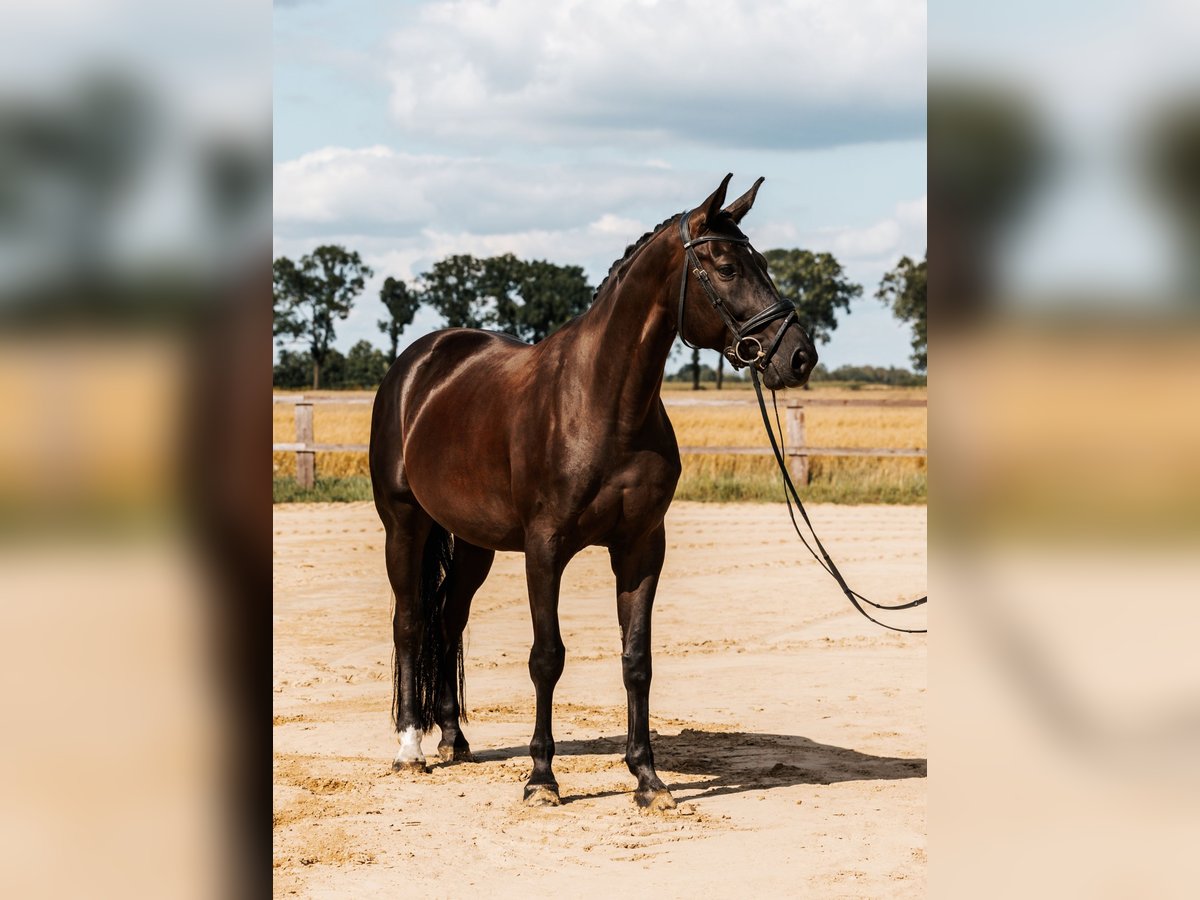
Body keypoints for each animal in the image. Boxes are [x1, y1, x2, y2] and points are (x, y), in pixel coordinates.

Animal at [364, 174, 816, 811]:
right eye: (727, 268)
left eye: (765, 264)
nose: (799, 356)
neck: (602, 401)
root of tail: (418, 363)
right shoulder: (545, 548)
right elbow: (546, 658)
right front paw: (542, 779)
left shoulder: (642, 547)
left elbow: (637, 660)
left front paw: (649, 780)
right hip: (404, 522)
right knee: (408, 621)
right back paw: (410, 748)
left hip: (473, 540)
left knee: (448, 620)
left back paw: (454, 739)